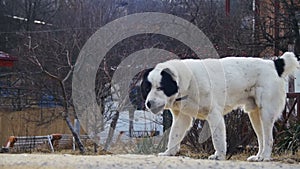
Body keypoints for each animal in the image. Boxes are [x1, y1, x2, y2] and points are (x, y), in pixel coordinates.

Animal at [142, 51, 298, 161]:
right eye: (148, 88)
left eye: (160, 87)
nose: (148, 103)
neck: (188, 81)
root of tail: (274, 64)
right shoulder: (182, 117)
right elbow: (174, 135)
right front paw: (169, 153)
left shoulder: (214, 115)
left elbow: (217, 138)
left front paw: (219, 155)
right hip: (255, 115)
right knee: (262, 138)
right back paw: (258, 157)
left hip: (265, 112)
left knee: (269, 138)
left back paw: (265, 157)